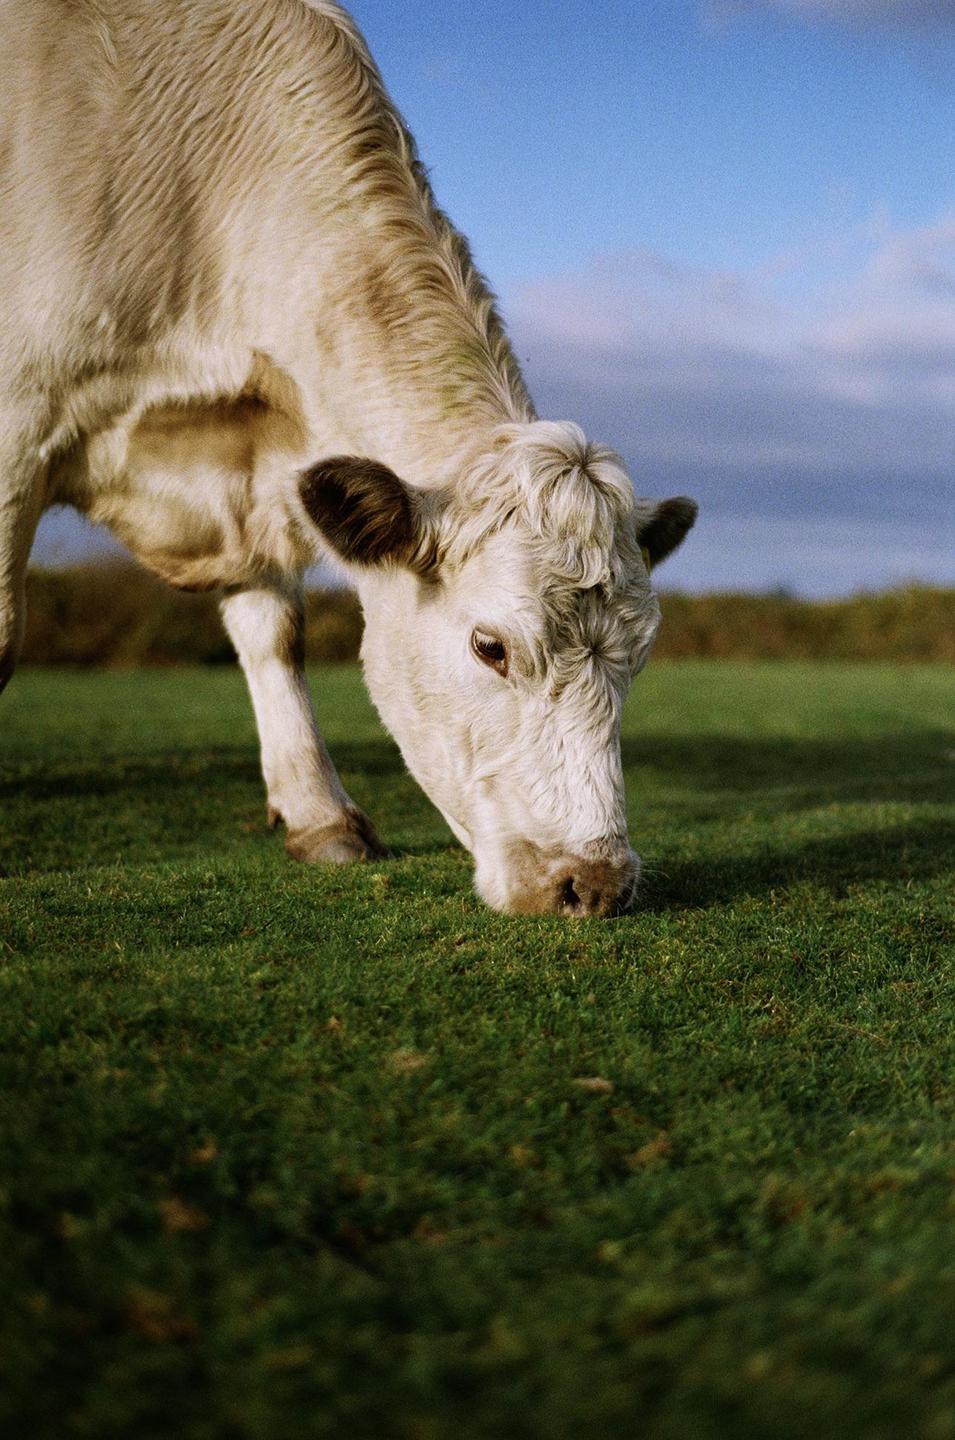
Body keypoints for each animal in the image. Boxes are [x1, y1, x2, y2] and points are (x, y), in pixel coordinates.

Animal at [0, 0, 696, 916]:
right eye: (490, 647)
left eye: (639, 653)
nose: (594, 881)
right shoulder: (17, 417)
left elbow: (275, 632)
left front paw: (317, 814)